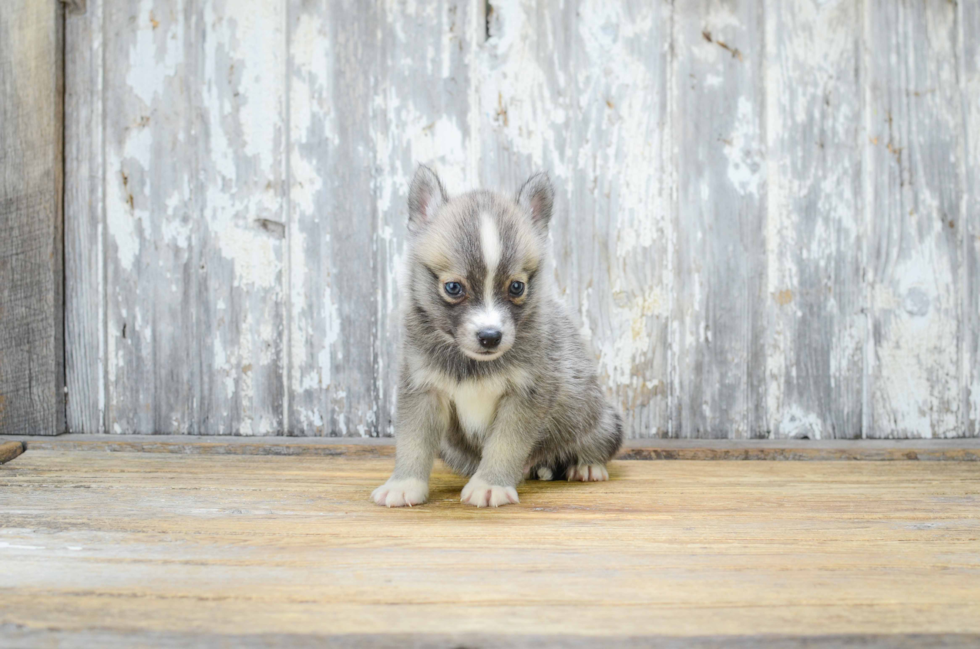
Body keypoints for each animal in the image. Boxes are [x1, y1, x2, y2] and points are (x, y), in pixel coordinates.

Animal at [372, 166, 624, 506]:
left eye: (516, 287)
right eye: (453, 287)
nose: (490, 336)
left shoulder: (523, 396)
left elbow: (505, 445)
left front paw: (490, 484)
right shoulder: (423, 390)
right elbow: (413, 442)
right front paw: (404, 483)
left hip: (603, 421)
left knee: (593, 445)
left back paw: (586, 466)